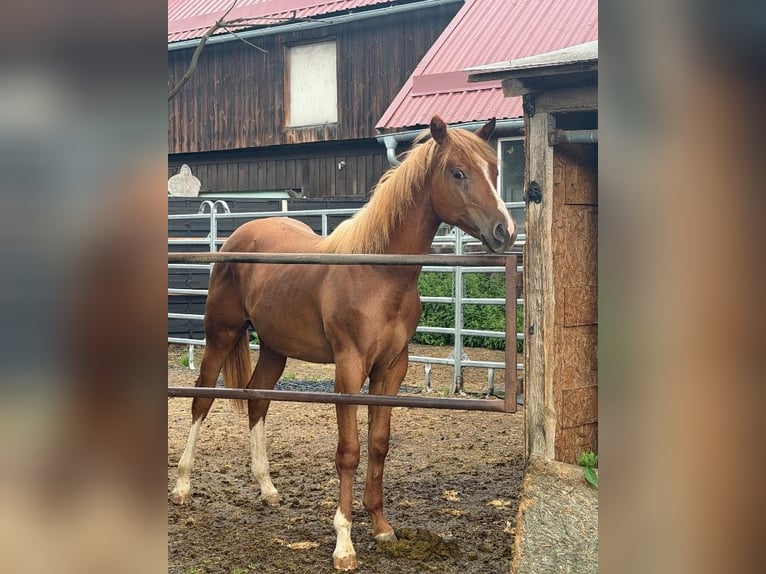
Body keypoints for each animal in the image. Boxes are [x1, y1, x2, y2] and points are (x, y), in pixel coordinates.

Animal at [170, 115, 517, 570]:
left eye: (494, 170)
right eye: (458, 172)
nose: (505, 231)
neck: (378, 273)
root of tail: (238, 236)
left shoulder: (392, 370)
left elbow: (379, 445)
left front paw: (383, 527)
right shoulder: (349, 370)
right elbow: (349, 450)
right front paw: (344, 543)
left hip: (276, 349)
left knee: (257, 400)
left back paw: (267, 488)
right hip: (221, 334)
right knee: (202, 399)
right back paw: (182, 486)